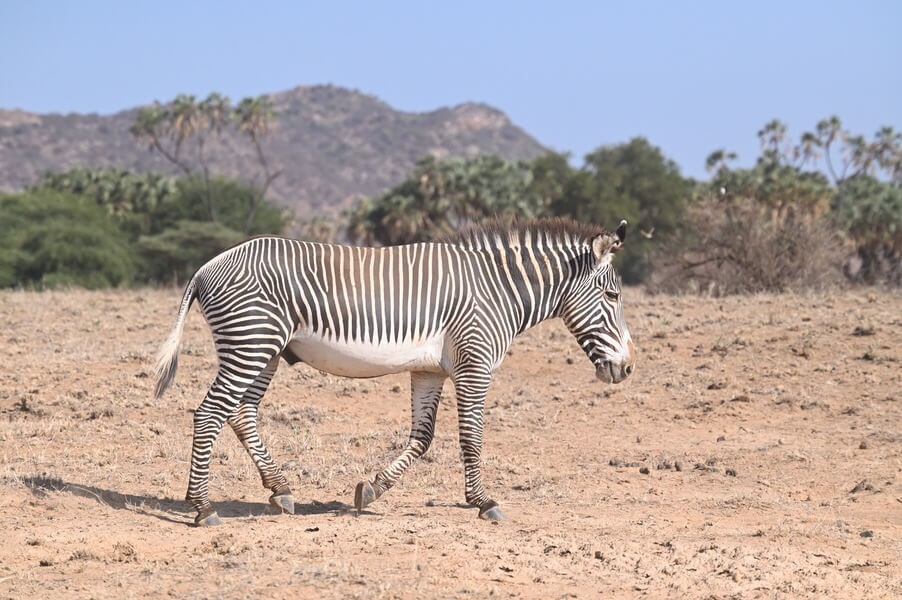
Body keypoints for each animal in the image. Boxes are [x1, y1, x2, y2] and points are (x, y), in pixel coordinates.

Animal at [154, 219, 636, 524]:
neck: (498, 290)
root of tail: (207, 265)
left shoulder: (430, 371)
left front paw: (371, 489)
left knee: (240, 413)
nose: (629, 368)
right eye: (612, 296)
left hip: (264, 349)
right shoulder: (474, 362)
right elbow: (472, 437)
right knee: (210, 413)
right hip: (251, 342)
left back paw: (280, 490)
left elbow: (422, 439)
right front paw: (483, 502)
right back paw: (202, 507)